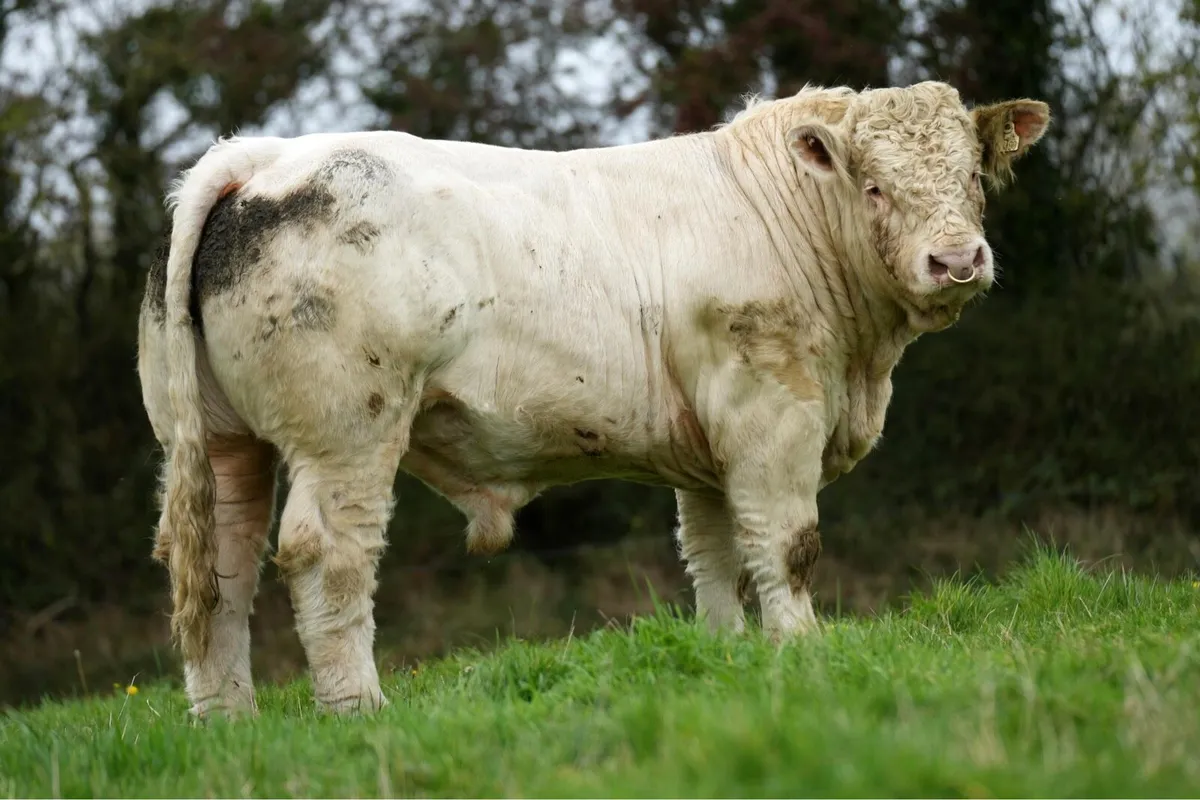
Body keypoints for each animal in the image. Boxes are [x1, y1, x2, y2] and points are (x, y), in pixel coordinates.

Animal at [137, 80, 1049, 717]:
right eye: (874, 187)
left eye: (972, 176)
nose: (956, 260)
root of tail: (263, 156)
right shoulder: (769, 413)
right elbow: (786, 543)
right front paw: (802, 651)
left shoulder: (710, 443)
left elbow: (712, 553)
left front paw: (730, 655)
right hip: (348, 434)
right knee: (326, 556)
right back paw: (357, 708)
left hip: (221, 441)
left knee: (217, 566)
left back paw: (227, 718)